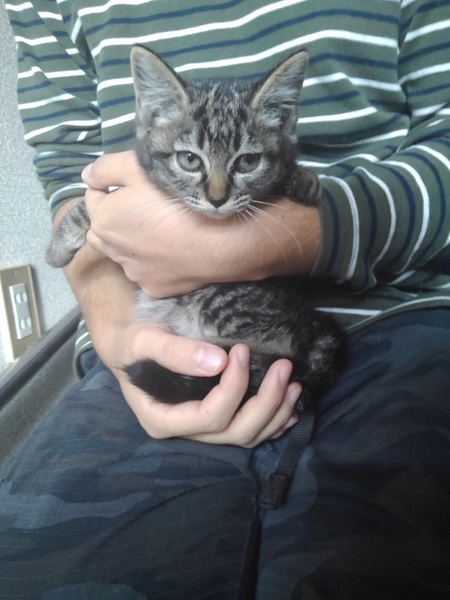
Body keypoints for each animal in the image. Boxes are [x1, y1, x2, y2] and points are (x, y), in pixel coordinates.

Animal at [47, 45, 346, 412]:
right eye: (189, 159)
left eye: (247, 161)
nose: (217, 198)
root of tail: (318, 327)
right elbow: (90, 204)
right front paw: (60, 245)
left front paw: (304, 180)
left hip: (221, 298)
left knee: (280, 351)